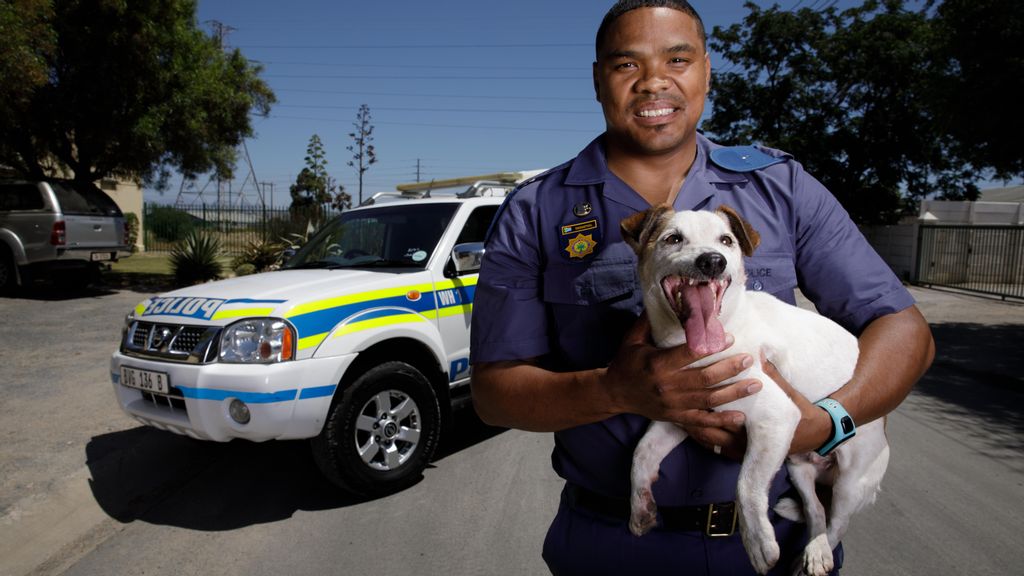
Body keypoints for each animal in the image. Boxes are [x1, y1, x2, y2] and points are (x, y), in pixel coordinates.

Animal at [614, 203, 888, 569]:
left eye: (726, 241)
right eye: (673, 239)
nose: (713, 261)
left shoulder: (775, 418)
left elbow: (747, 483)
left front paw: (757, 540)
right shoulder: (681, 418)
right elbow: (641, 454)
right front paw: (641, 507)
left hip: (850, 481)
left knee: (837, 523)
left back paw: (819, 552)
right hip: (797, 466)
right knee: (816, 509)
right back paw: (810, 552)